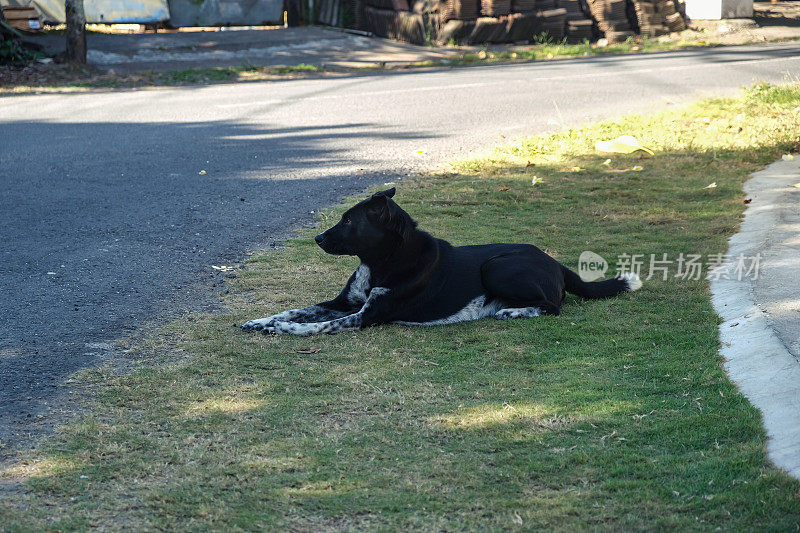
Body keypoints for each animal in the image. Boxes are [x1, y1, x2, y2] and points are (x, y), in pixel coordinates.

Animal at [241, 188, 640, 336]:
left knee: (552, 306)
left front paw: (285, 330)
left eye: (349, 221)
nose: (318, 238)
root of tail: (555, 262)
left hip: (496, 267)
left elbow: (316, 326)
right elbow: (297, 309)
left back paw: (512, 312)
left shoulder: (365, 316)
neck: (383, 261)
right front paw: (263, 320)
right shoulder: (343, 303)